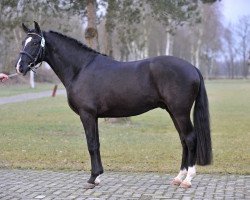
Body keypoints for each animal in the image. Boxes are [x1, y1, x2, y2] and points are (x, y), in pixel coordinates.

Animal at [15, 22, 211, 189]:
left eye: (34, 43)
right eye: (23, 42)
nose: (19, 67)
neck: (81, 69)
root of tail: (193, 68)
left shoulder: (87, 114)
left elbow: (92, 144)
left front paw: (92, 178)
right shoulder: (93, 116)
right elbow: (96, 144)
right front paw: (97, 177)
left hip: (180, 112)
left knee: (190, 139)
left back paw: (188, 179)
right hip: (172, 111)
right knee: (183, 140)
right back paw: (179, 177)